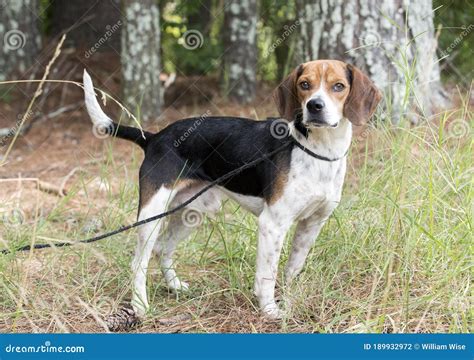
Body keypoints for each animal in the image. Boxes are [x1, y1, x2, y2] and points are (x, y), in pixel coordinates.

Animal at [83, 59, 382, 320]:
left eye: (338, 86)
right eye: (304, 84)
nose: (314, 106)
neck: (319, 149)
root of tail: (155, 137)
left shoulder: (313, 223)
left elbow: (292, 269)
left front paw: (289, 300)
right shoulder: (272, 224)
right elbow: (267, 274)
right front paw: (270, 311)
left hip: (192, 212)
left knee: (162, 249)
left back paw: (175, 286)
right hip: (151, 214)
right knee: (139, 262)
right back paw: (140, 306)